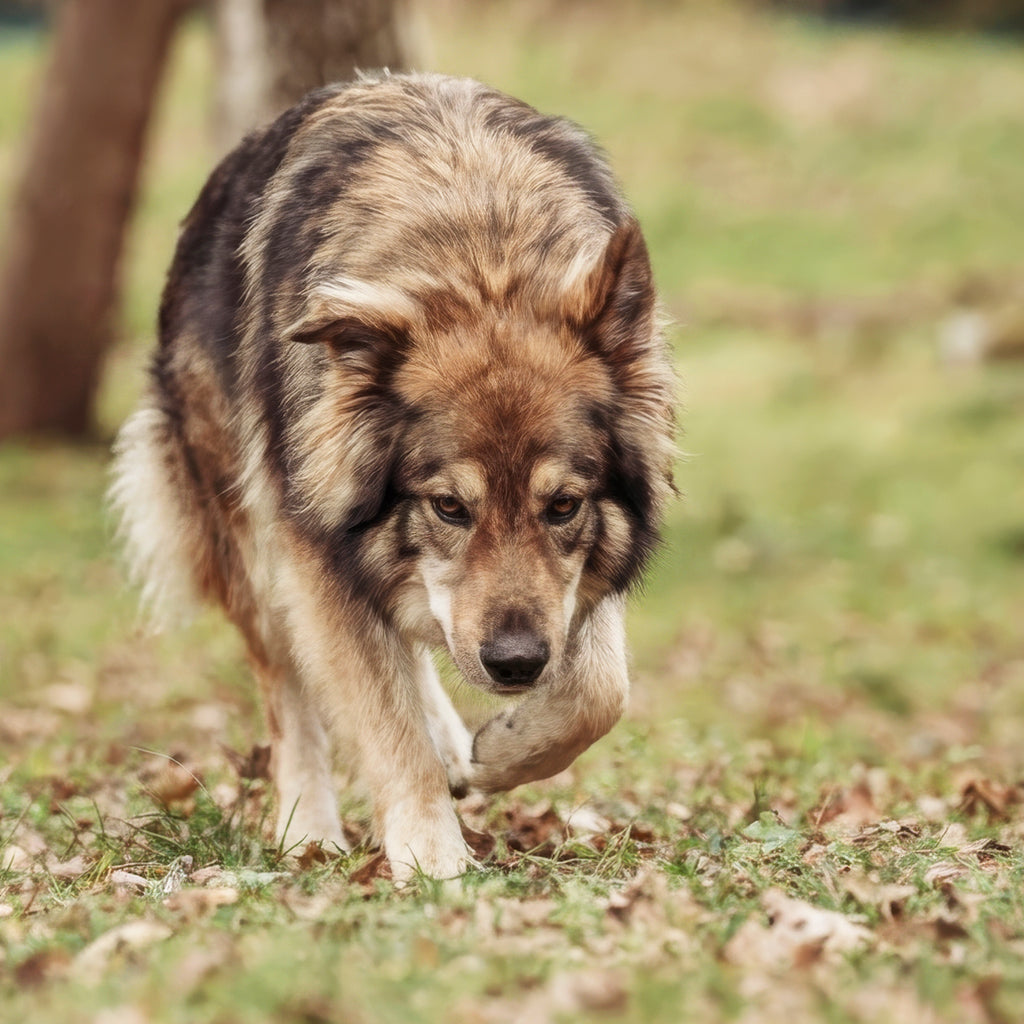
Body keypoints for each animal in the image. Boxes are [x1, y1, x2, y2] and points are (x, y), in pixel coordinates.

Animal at [111, 72, 675, 880]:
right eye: (449, 507)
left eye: (564, 506)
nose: (514, 664)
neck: (479, 248)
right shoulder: (320, 557)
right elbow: (384, 724)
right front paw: (435, 865)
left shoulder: (573, 592)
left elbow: (601, 690)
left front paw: (502, 753)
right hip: (255, 549)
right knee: (290, 695)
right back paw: (308, 831)